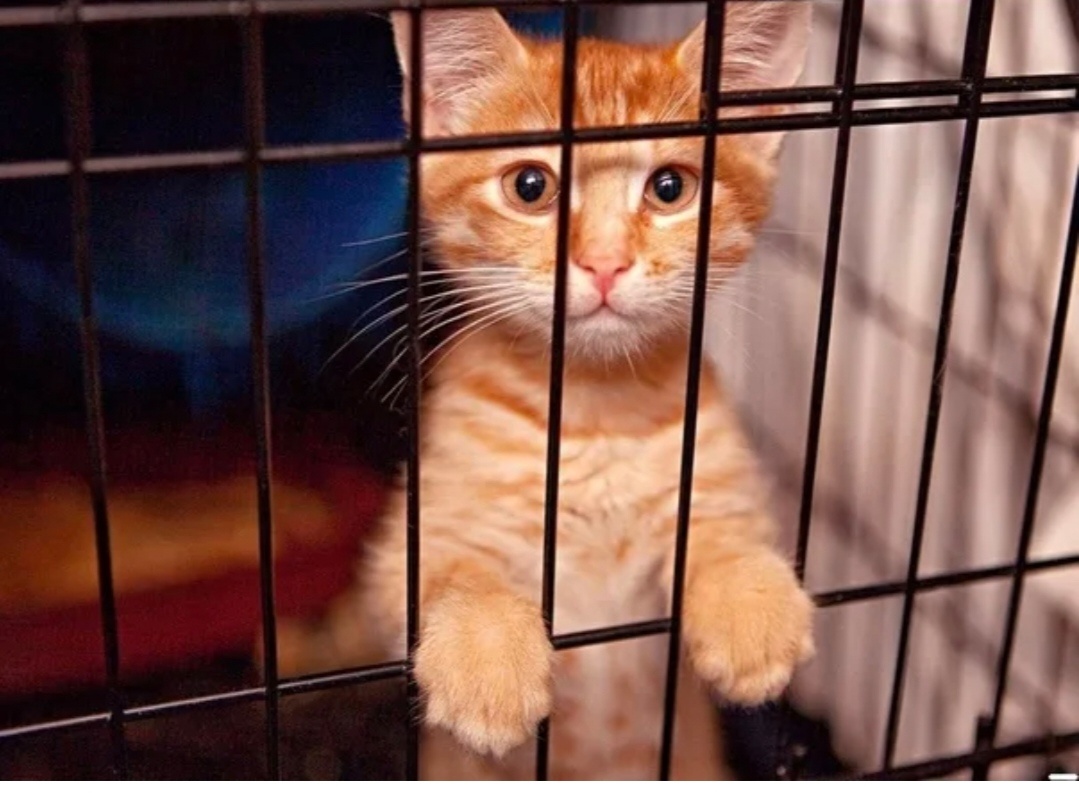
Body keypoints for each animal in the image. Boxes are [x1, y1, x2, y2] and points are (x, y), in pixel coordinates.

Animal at [277, 2, 816, 780]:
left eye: (670, 188)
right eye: (530, 187)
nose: (604, 262)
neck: (592, 415)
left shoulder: (712, 476)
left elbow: (724, 528)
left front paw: (750, 606)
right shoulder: (407, 547)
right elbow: (454, 571)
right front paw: (486, 656)